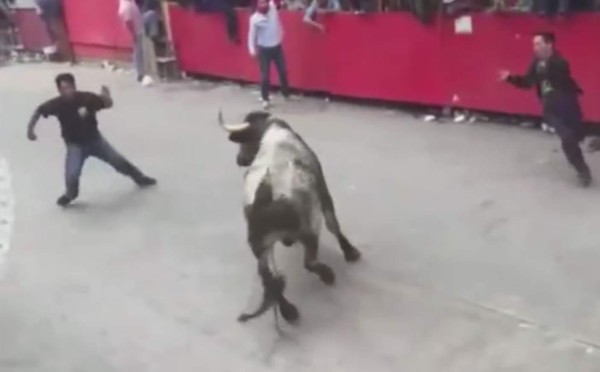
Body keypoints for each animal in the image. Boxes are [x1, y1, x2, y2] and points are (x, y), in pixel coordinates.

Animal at [219, 110, 360, 322]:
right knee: (308, 262)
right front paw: (350, 252)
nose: (239, 160)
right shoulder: (324, 192)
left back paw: (288, 311)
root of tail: (265, 197)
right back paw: (327, 275)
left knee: (270, 279)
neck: (271, 131)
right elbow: (333, 224)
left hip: (260, 246)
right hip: (308, 230)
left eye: (245, 141)